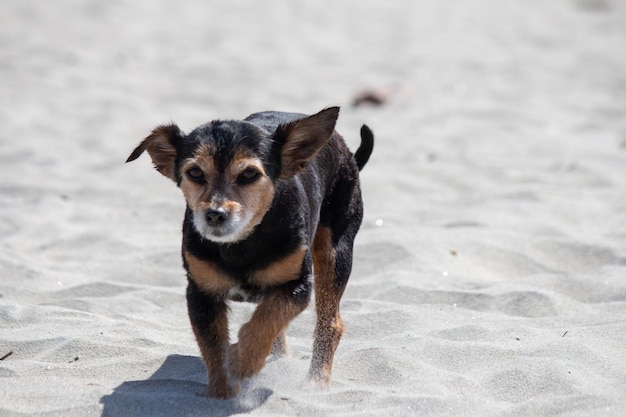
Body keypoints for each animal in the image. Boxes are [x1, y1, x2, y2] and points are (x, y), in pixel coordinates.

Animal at [125, 106, 370, 396]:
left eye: (250, 174)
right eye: (194, 173)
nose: (215, 214)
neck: (241, 242)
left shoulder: (297, 285)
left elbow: (266, 321)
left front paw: (242, 361)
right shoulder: (201, 293)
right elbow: (214, 346)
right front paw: (222, 393)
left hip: (335, 252)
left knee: (329, 322)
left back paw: (317, 381)